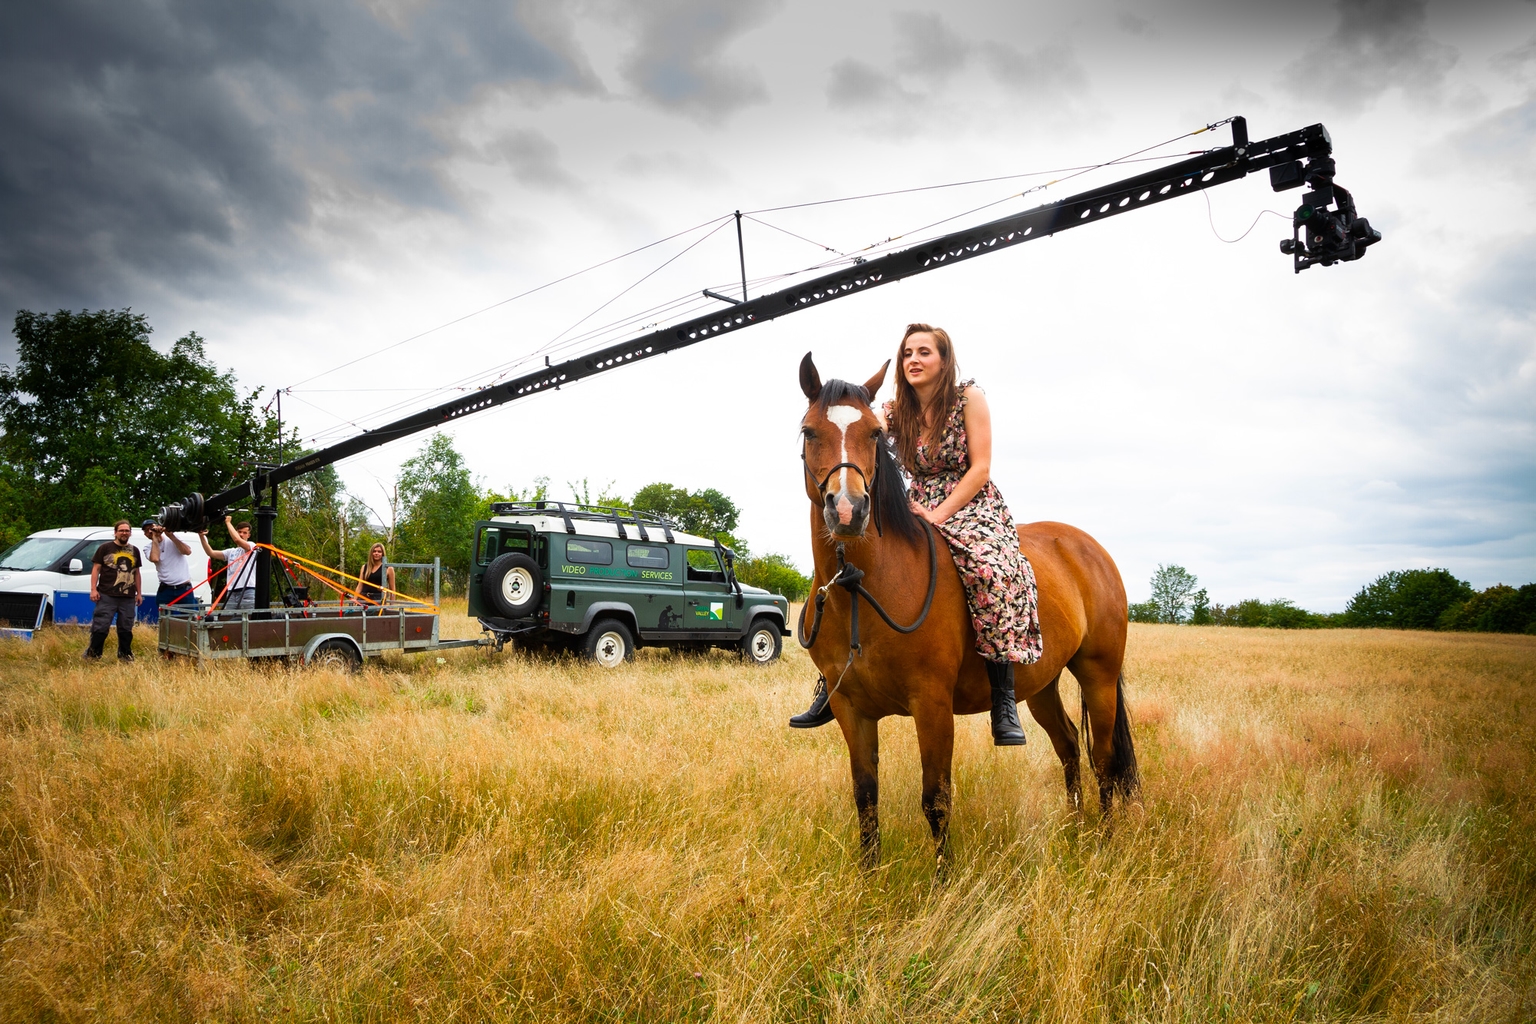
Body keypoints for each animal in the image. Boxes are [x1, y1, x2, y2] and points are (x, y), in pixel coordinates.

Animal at [798, 354, 1136, 865]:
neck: (863, 589)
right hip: (1041, 683)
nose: (848, 510)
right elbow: (865, 796)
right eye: (808, 431)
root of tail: (1090, 548)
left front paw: (943, 879)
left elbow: (935, 800)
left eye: (875, 433)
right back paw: (1076, 831)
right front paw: (868, 877)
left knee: (1106, 760)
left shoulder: (932, 704)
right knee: (1069, 746)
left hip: (1098, 675)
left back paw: (1106, 843)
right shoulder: (849, 709)